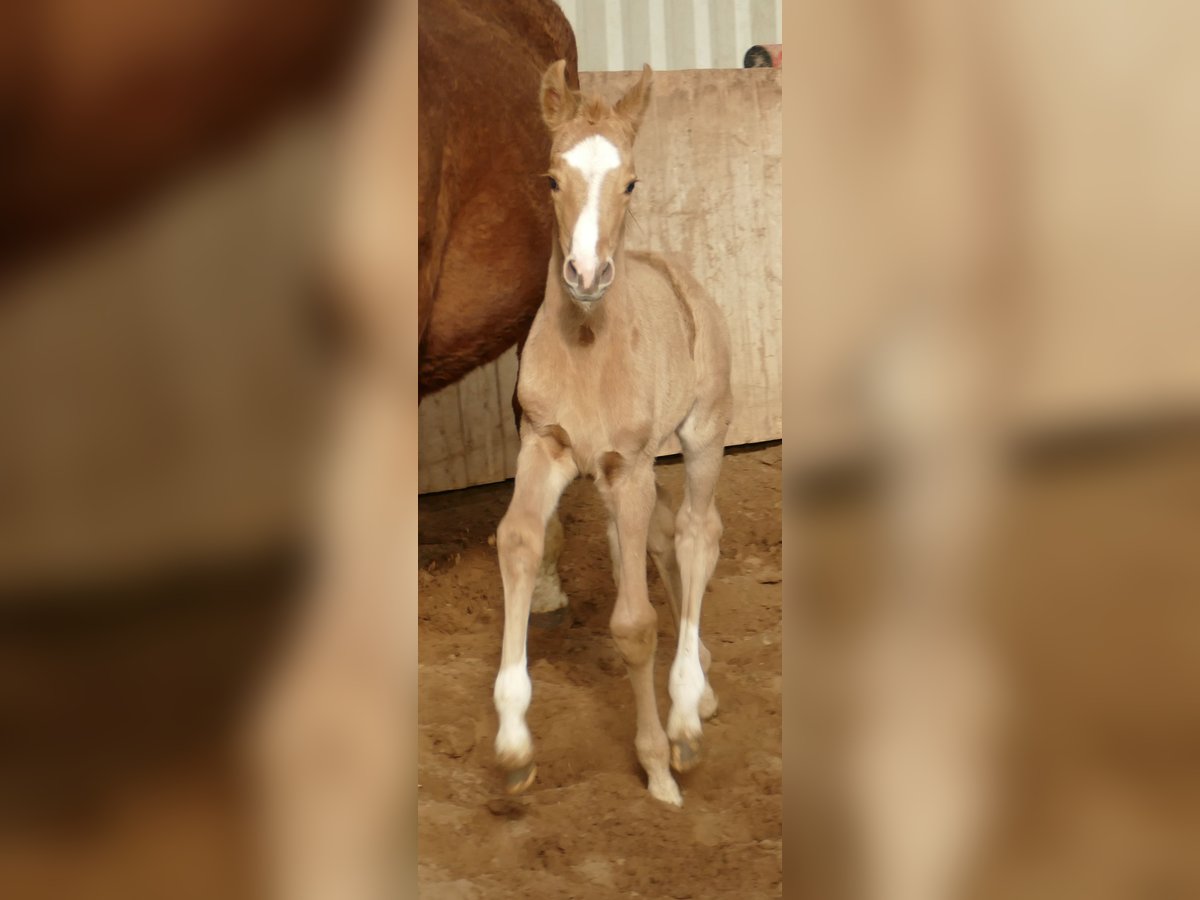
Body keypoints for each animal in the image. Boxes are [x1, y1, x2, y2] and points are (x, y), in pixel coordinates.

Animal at [489, 61, 729, 811]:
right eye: (550, 178)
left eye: (631, 181)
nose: (587, 275)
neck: (590, 345)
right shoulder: (547, 446)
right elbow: (519, 542)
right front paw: (513, 743)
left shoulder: (631, 466)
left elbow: (633, 625)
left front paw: (660, 763)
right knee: (656, 538)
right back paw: (700, 684)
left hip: (703, 434)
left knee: (695, 533)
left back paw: (687, 710)